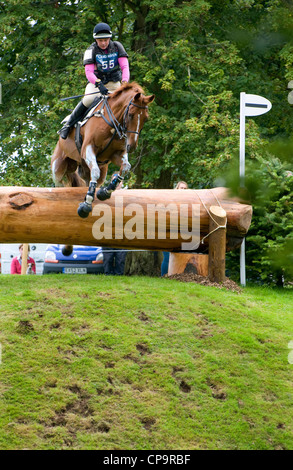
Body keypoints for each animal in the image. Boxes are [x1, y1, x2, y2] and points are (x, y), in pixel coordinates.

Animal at [51, 82, 154, 218]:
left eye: (145, 118)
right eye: (131, 114)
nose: (131, 147)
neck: (112, 122)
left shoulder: (116, 154)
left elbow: (125, 167)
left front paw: (105, 192)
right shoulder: (88, 149)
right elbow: (95, 171)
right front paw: (86, 205)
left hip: (92, 170)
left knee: (90, 180)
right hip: (58, 167)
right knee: (59, 184)